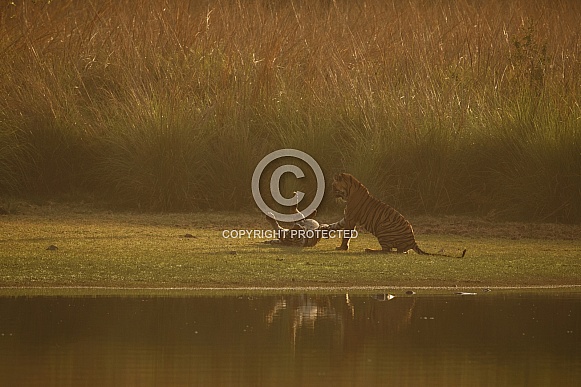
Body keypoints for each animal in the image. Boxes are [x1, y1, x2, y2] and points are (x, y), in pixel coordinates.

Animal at [326, 173, 466, 258]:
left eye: (333, 186)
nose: (331, 193)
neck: (350, 190)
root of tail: (412, 240)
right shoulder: (346, 218)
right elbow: (337, 226)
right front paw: (325, 229)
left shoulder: (350, 218)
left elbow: (346, 235)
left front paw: (342, 248)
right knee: (399, 251)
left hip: (382, 228)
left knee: (387, 250)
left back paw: (370, 249)